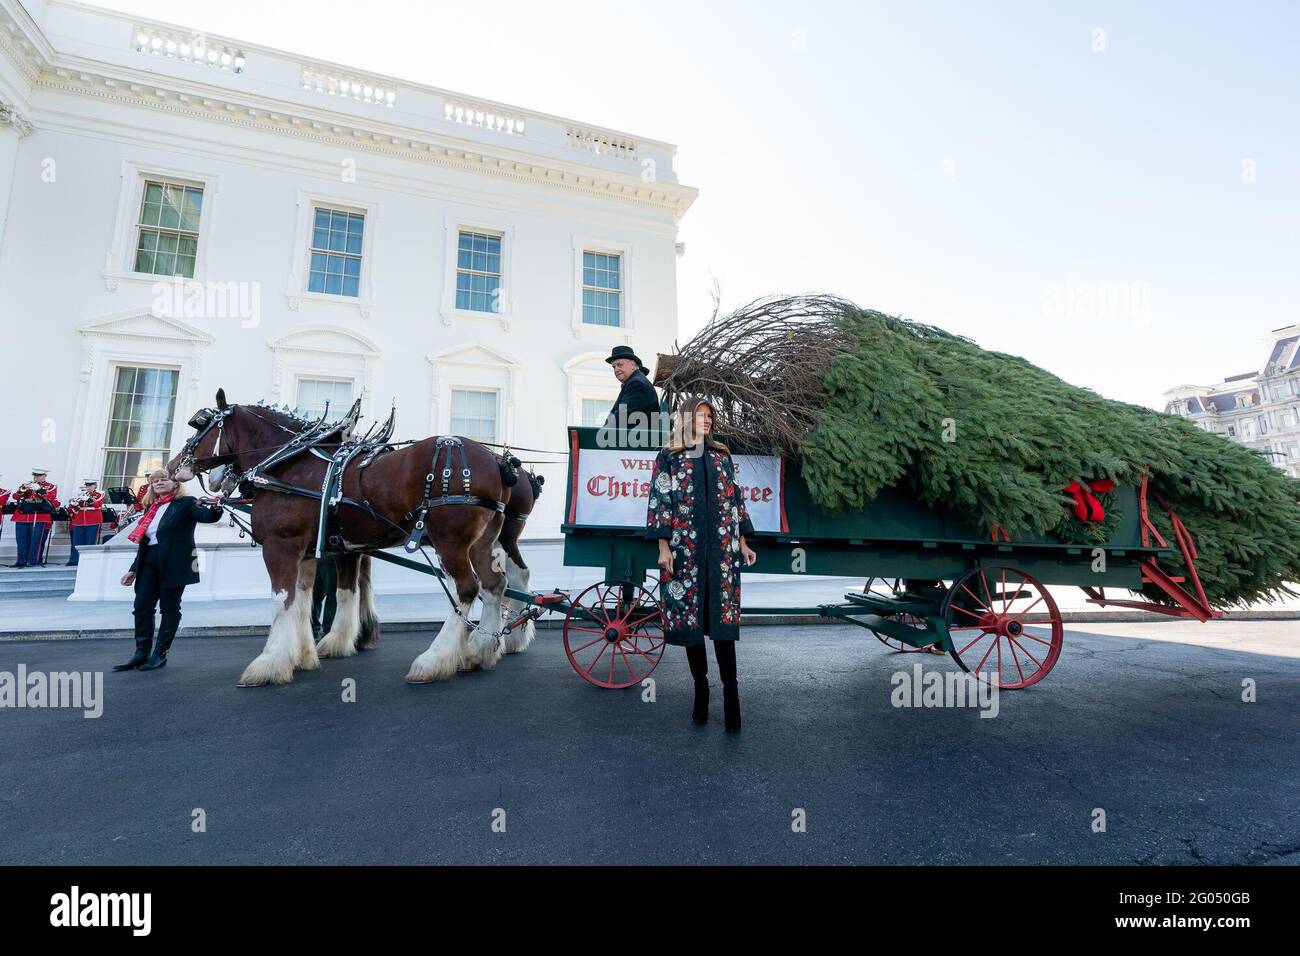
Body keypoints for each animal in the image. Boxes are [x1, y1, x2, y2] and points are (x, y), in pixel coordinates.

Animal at [171, 390, 538, 686]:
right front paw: (303, 655)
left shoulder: (281, 545)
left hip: (450, 541)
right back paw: (483, 649)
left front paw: (269, 663)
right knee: (496, 584)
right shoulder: (311, 551)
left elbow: (282, 601)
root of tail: (498, 461)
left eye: (201, 425)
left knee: (467, 588)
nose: (174, 466)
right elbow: (307, 600)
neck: (286, 464)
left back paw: (434, 660)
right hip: (483, 542)